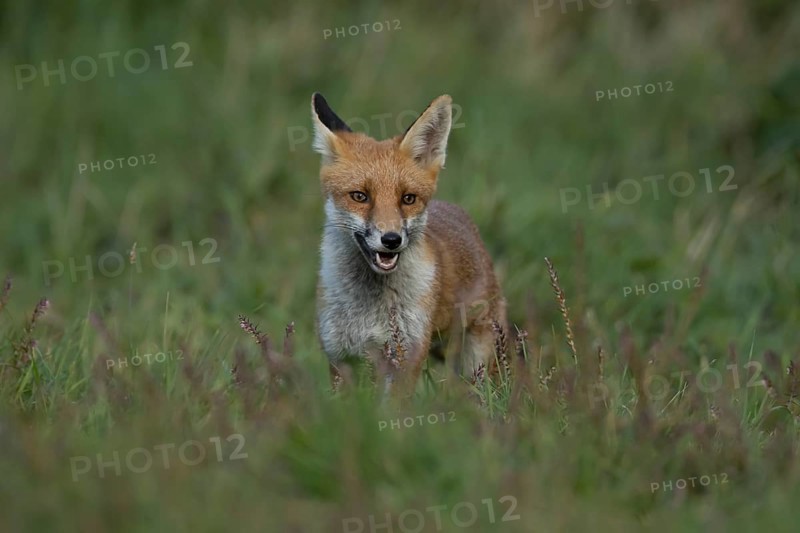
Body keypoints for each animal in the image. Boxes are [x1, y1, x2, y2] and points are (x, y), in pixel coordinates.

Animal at [311, 92, 506, 392]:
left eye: (408, 198)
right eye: (359, 196)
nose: (391, 239)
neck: (370, 306)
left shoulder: (406, 356)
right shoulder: (339, 357)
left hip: (478, 362)